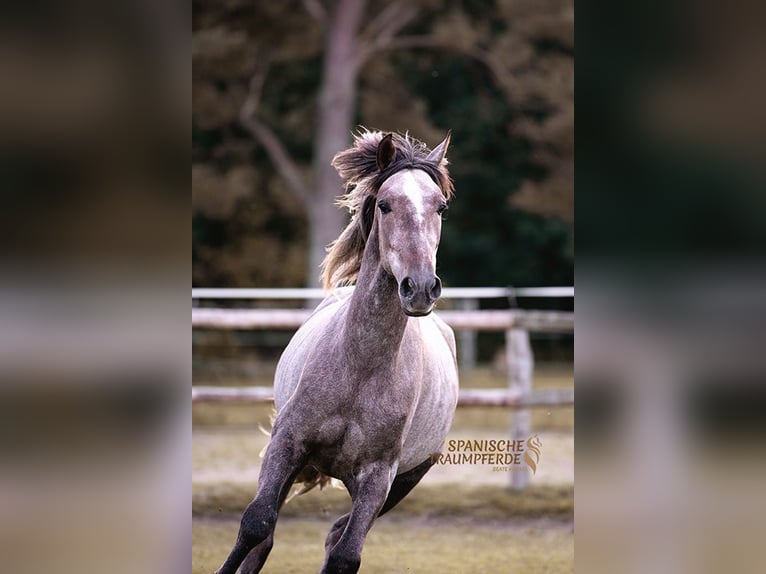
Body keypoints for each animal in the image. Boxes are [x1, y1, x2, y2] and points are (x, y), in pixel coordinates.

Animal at [215, 129, 459, 574]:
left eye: (440, 207)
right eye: (385, 204)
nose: (419, 288)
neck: (360, 367)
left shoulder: (379, 477)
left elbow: (346, 555)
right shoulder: (287, 443)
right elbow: (256, 525)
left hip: (404, 481)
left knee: (336, 537)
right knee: (268, 534)